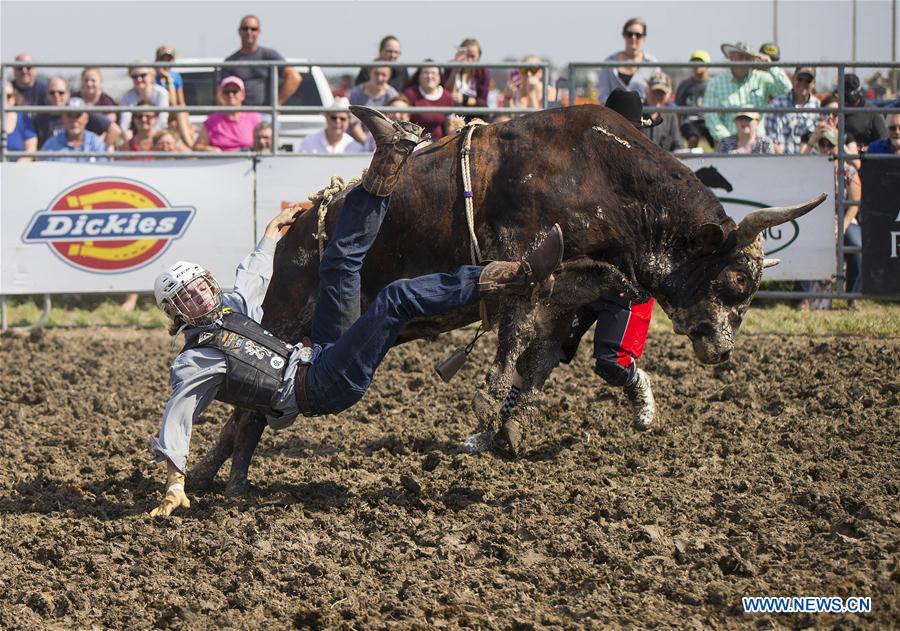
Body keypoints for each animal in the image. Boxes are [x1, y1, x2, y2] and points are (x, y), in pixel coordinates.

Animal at [193, 105, 828, 498]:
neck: (600, 176)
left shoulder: (565, 297)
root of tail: (299, 225)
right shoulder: (523, 264)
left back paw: (209, 476)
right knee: (247, 404)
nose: (721, 351)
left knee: (248, 406)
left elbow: (536, 366)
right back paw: (227, 478)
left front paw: (510, 432)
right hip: (289, 314)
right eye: (736, 282)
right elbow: (510, 355)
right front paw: (487, 425)